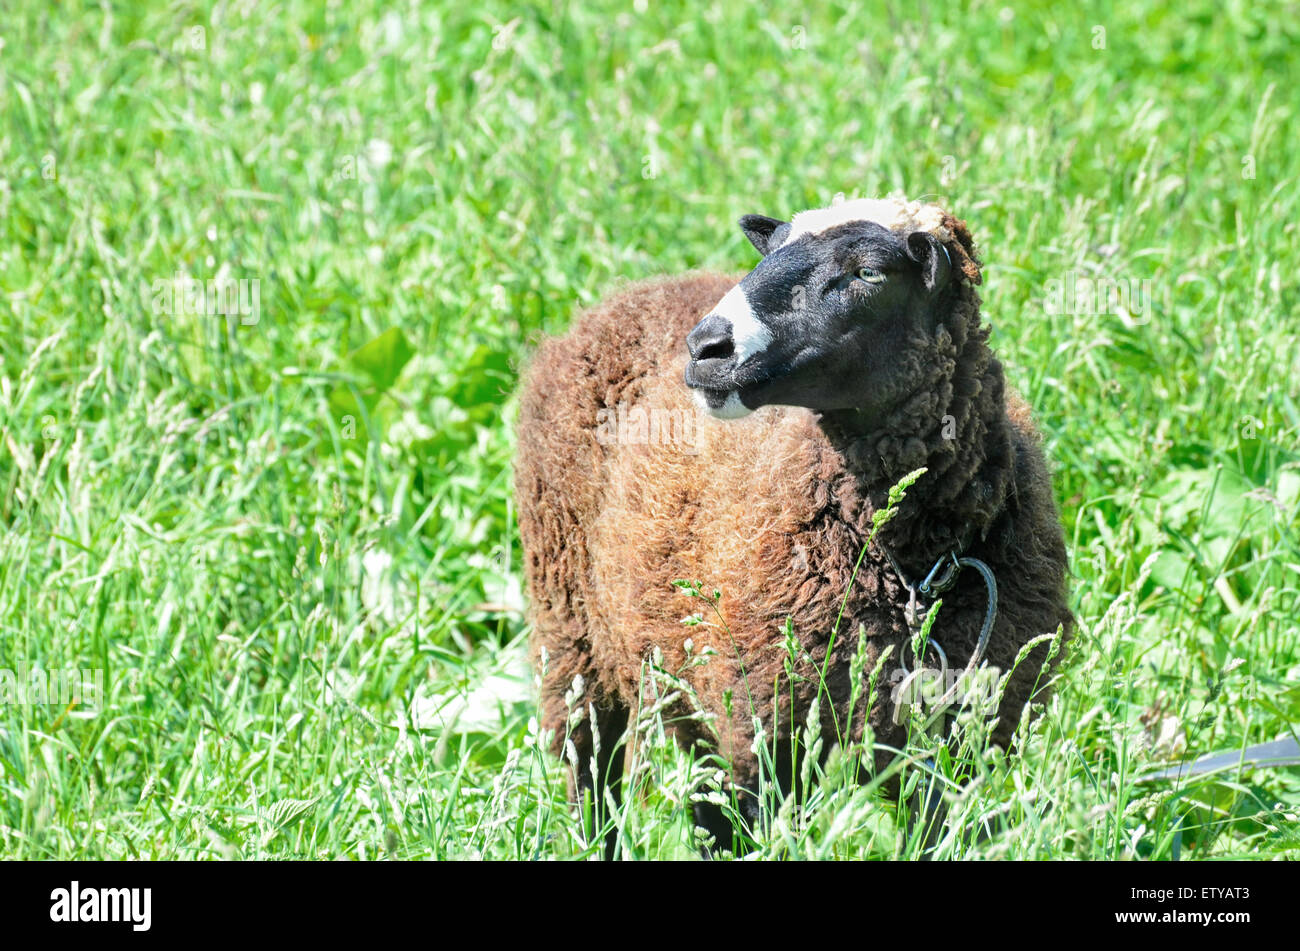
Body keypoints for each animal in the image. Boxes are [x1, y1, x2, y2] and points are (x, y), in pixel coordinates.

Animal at [514, 197, 1073, 857]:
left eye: (869, 273)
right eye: (773, 248)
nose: (706, 348)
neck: (906, 563)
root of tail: (635, 292)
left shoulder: (962, 732)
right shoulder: (771, 727)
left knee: (702, 795)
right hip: (570, 624)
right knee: (590, 767)